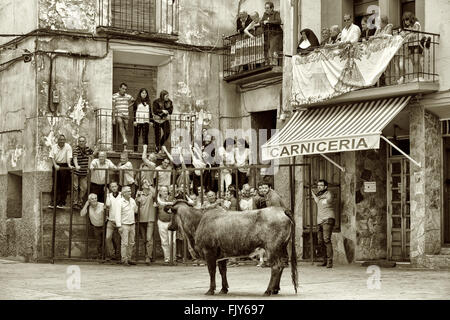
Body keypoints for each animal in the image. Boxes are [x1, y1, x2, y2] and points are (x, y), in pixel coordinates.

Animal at [163, 200, 298, 298]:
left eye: (172, 214)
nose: (169, 226)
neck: (199, 221)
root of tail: (282, 210)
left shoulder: (209, 252)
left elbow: (212, 271)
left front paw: (210, 290)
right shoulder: (222, 255)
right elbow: (223, 271)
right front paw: (224, 289)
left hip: (272, 248)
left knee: (275, 267)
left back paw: (268, 291)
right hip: (281, 248)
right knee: (281, 265)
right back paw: (275, 289)